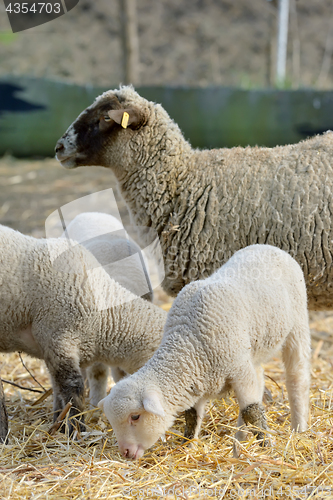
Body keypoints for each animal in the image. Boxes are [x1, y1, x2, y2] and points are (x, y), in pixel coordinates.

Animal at [97, 244, 310, 458]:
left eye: (135, 417)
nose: (125, 452)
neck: (190, 342)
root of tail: (267, 247)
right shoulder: (197, 382)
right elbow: (192, 416)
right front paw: (188, 446)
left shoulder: (238, 368)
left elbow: (252, 410)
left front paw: (267, 445)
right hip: (254, 351)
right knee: (258, 382)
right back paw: (239, 442)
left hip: (297, 323)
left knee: (297, 377)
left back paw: (298, 428)